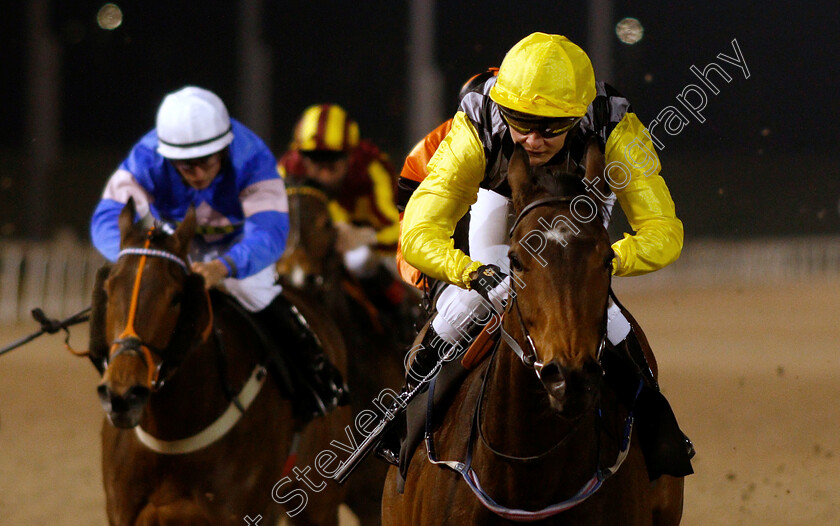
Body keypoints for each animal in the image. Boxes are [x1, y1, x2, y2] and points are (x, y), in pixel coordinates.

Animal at [92, 200, 352, 524]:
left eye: (176, 297)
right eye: (109, 289)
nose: (123, 396)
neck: (170, 436)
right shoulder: (124, 512)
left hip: (320, 504)